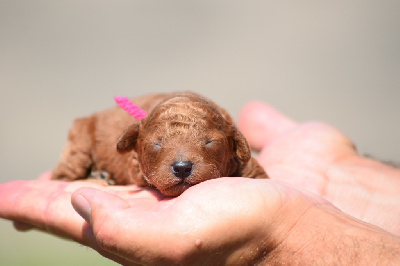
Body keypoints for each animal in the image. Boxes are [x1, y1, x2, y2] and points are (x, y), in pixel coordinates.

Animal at [50, 92, 268, 196]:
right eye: (156, 144)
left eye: (209, 142)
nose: (182, 168)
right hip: (79, 145)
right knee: (62, 176)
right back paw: (98, 177)